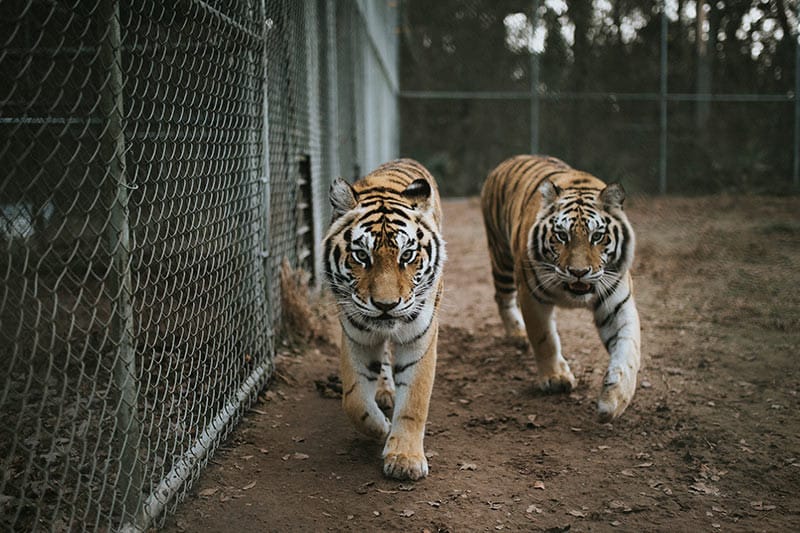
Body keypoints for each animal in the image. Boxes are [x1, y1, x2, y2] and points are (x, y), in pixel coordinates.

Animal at [324, 157, 446, 478]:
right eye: (361, 256)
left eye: (406, 256)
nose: (386, 305)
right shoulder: (357, 337)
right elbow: (353, 399)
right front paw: (381, 428)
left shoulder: (419, 339)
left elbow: (414, 402)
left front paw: (405, 460)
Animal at [482, 154, 644, 420]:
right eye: (562, 236)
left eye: (597, 236)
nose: (579, 272)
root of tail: (510, 159)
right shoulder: (531, 296)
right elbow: (544, 338)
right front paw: (555, 378)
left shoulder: (618, 304)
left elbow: (628, 349)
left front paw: (615, 399)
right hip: (502, 257)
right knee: (502, 297)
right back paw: (518, 334)